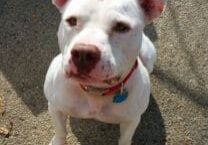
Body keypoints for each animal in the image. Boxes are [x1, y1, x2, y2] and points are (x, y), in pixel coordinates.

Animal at [44, 0, 165, 144]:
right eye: (72, 20)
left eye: (122, 27)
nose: (84, 53)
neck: (95, 91)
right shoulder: (55, 107)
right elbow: (60, 130)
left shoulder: (132, 120)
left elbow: (125, 139)